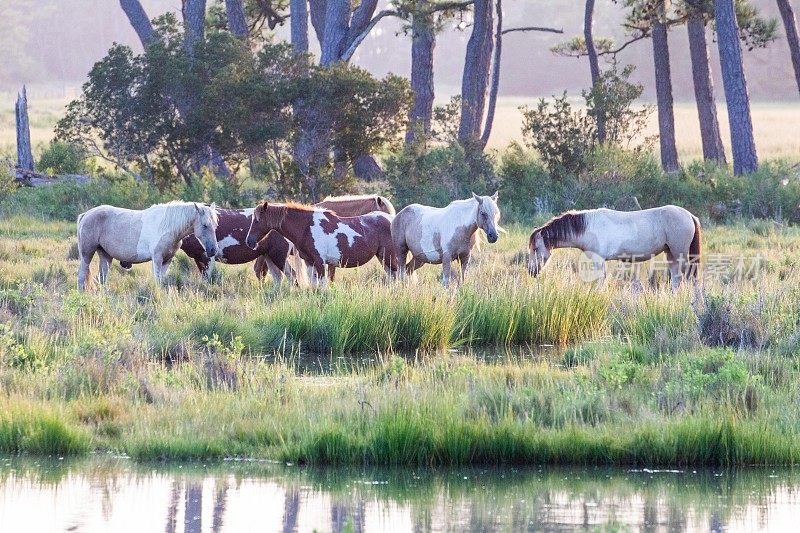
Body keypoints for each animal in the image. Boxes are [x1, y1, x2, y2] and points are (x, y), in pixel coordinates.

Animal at [77, 201, 219, 290]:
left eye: (215, 225)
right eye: (205, 225)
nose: (213, 250)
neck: (167, 227)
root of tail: (86, 214)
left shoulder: (167, 260)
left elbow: (161, 281)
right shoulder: (157, 259)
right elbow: (157, 281)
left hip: (105, 255)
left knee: (102, 278)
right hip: (87, 254)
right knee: (82, 275)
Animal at [242, 201, 396, 284]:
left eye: (257, 221)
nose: (249, 241)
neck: (307, 227)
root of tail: (392, 220)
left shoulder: (320, 262)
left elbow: (322, 285)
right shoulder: (310, 263)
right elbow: (314, 285)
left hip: (389, 258)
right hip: (383, 259)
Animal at [528, 205, 704, 288]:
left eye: (535, 248)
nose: (531, 271)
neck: (587, 228)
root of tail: (690, 215)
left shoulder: (598, 260)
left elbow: (600, 281)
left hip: (679, 253)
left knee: (683, 277)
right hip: (670, 253)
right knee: (676, 278)